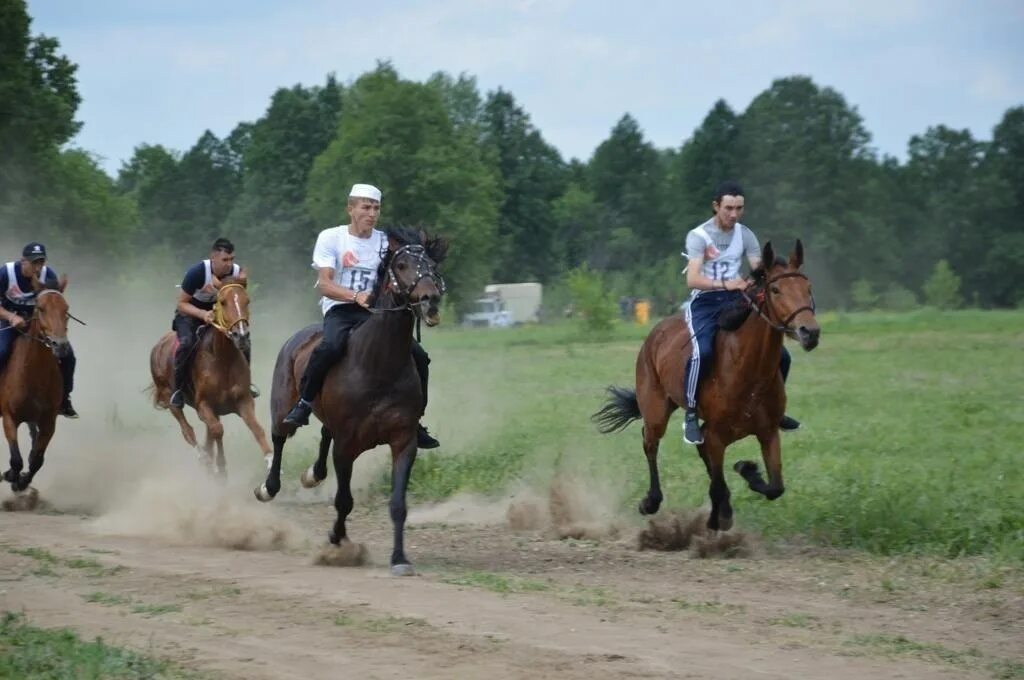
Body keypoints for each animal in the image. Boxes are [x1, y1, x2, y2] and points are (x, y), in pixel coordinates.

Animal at [1, 278, 72, 491]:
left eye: (66, 309)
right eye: (40, 308)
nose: (60, 345)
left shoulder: (49, 421)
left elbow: (36, 460)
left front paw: (23, 481)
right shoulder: (9, 416)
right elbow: (16, 460)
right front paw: (11, 476)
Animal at [149, 278, 270, 475]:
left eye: (247, 301)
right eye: (223, 302)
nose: (241, 335)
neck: (223, 360)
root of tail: (158, 346)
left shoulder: (244, 400)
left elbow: (256, 429)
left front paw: (271, 462)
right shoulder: (203, 405)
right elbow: (217, 431)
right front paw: (221, 469)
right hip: (169, 397)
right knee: (188, 431)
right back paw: (204, 459)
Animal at [253, 227, 446, 573]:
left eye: (432, 264)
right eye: (401, 265)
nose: (430, 299)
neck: (379, 364)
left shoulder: (404, 441)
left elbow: (398, 503)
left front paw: (399, 558)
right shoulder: (346, 446)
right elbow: (344, 499)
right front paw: (337, 541)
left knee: (322, 434)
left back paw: (313, 474)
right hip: (282, 406)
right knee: (279, 437)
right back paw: (268, 487)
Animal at [593, 241, 823, 532]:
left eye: (808, 287)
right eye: (775, 289)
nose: (809, 332)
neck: (750, 372)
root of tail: (656, 334)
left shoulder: (768, 432)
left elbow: (775, 487)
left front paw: (746, 470)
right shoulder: (716, 435)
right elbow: (718, 484)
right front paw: (719, 515)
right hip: (657, 410)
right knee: (650, 442)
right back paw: (651, 501)